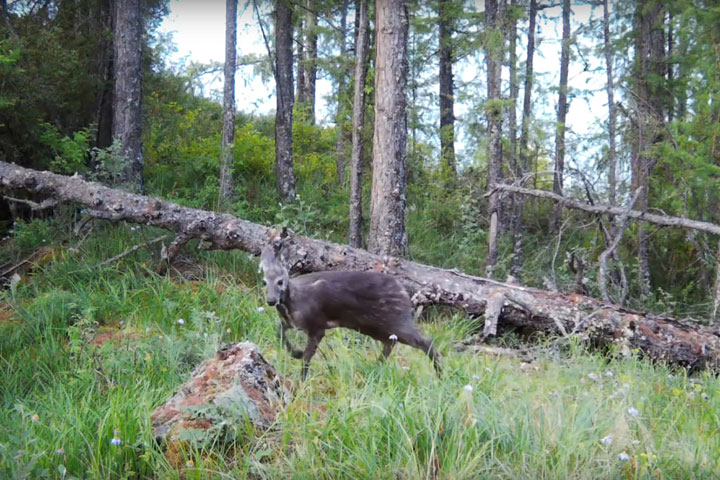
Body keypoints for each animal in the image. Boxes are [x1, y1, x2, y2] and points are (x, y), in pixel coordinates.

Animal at [258, 240, 438, 378]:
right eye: (264, 282)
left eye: (280, 281)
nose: (271, 300)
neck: (294, 302)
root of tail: (404, 292)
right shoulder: (291, 323)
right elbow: (279, 331)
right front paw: (295, 352)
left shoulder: (317, 326)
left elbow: (306, 359)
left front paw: (301, 378)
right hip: (372, 325)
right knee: (390, 342)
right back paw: (376, 367)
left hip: (395, 320)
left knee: (426, 341)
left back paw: (439, 374)